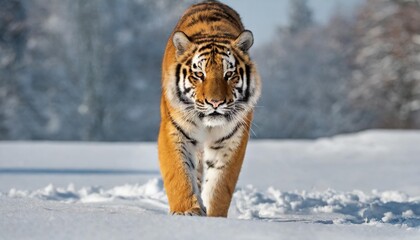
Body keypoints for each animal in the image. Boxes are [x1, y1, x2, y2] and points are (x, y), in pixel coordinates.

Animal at [158, 0, 260, 218]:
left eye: (229, 74)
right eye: (199, 74)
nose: (215, 102)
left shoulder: (231, 139)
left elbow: (220, 184)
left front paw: (214, 218)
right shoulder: (175, 131)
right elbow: (179, 173)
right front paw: (187, 211)